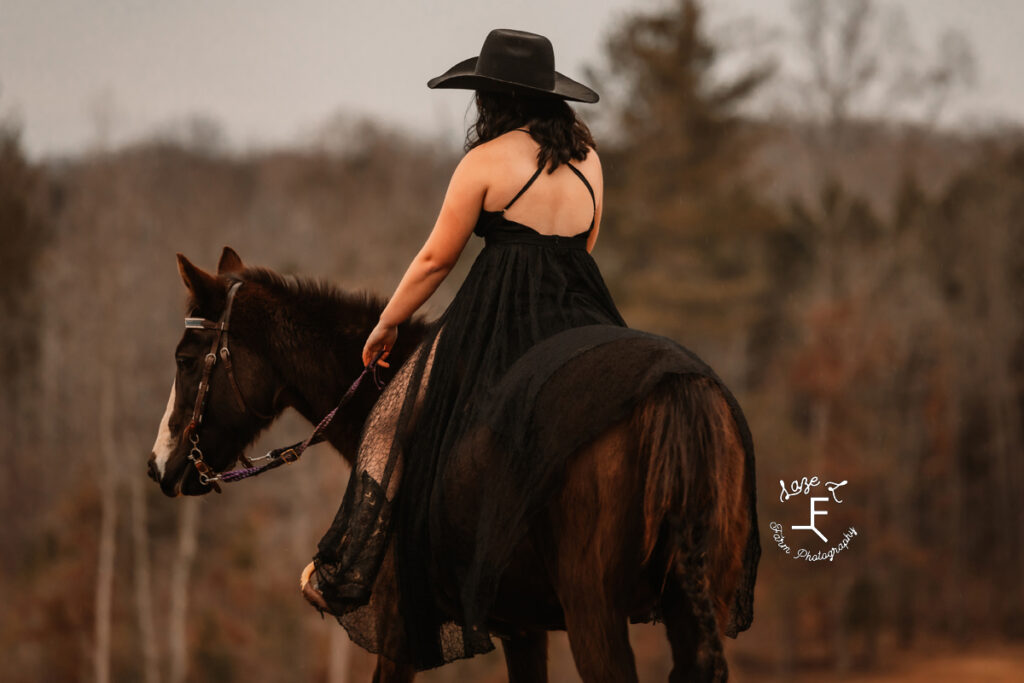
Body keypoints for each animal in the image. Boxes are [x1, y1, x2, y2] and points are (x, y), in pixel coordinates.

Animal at [149, 248, 761, 683]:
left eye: (185, 359)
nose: (159, 466)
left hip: (597, 615)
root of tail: (675, 387)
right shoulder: (524, 628)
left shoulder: (397, 635)